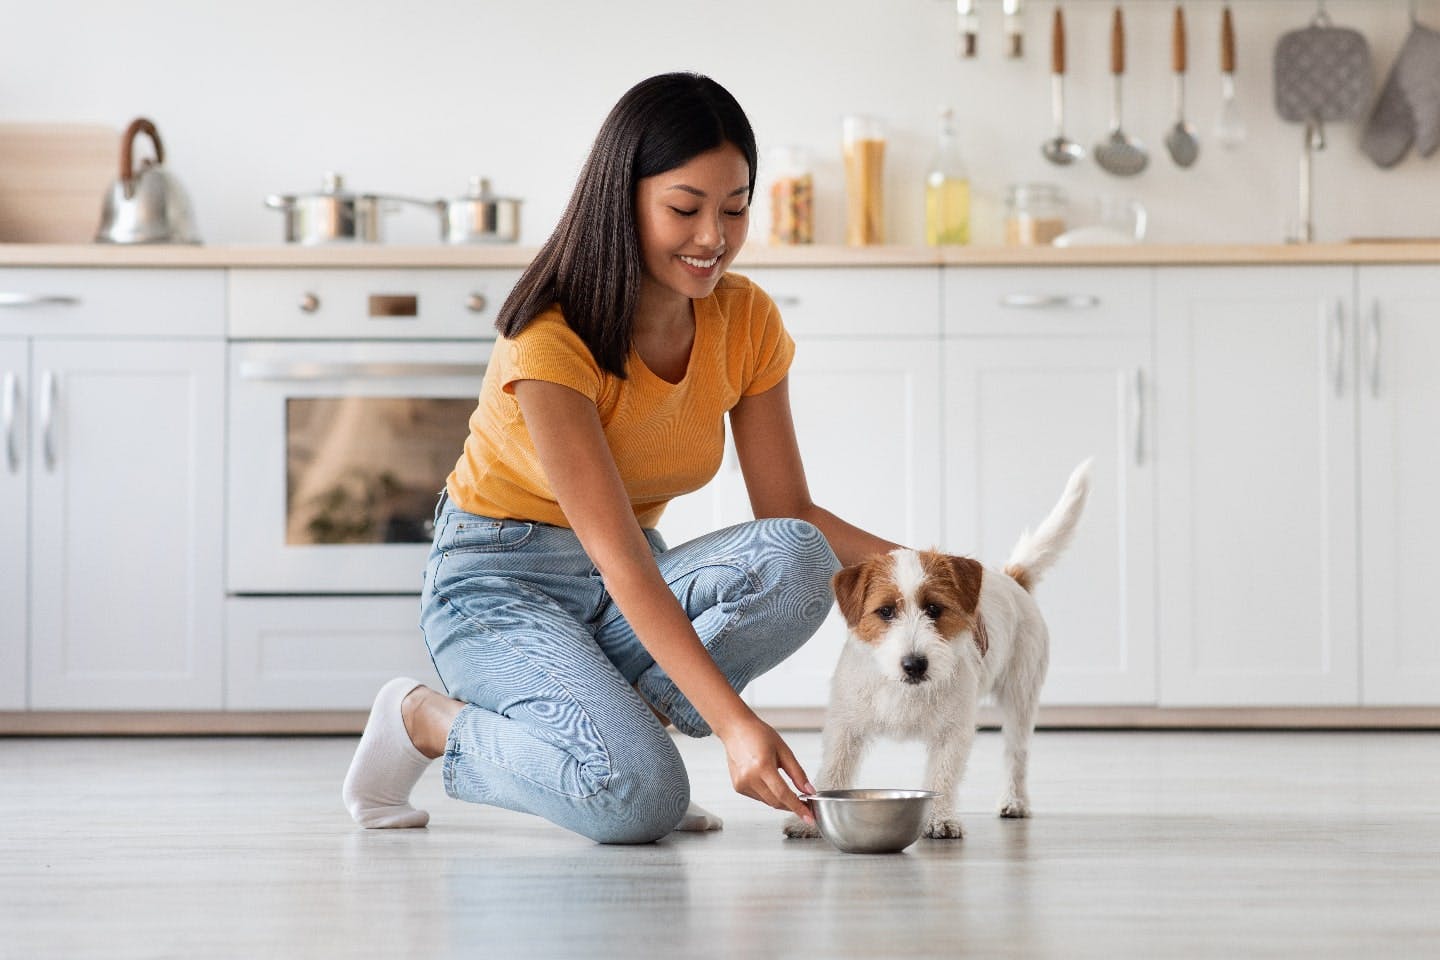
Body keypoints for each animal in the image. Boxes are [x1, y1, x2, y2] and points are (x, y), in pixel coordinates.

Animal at [789, 460, 1088, 846]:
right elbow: (833, 769)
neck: (901, 688)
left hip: (1021, 696)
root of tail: (1011, 578)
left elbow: (942, 777)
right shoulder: (845, 727)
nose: (915, 664)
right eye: (886, 611)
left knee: (1016, 753)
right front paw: (808, 821)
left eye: (934, 609)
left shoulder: (953, 732)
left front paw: (940, 819)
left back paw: (1014, 801)